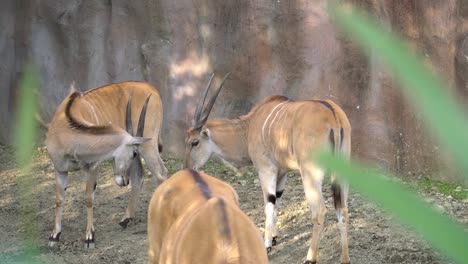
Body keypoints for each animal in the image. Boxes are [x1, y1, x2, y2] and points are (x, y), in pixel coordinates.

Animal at [45, 81, 168, 249]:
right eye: (133, 153)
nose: (124, 180)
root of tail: (151, 88)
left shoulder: (93, 167)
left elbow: (88, 198)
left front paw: (89, 237)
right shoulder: (60, 169)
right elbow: (59, 199)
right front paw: (54, 235)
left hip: (148, 146)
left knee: (161, 174)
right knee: (139, 176)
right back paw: (125, 219)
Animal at [184, 74, 352, 264]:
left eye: (194, 142)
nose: (186, 168)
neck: (249, 127)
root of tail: (333, 116)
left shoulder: (266, 169)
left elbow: (269, 203)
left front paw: (267, 245)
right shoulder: (282, 173)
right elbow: (277, 200)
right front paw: (274, 237)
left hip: (310, 175)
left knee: (320, 211)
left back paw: (310, 257)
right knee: (343, 210)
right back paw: (345, 258)